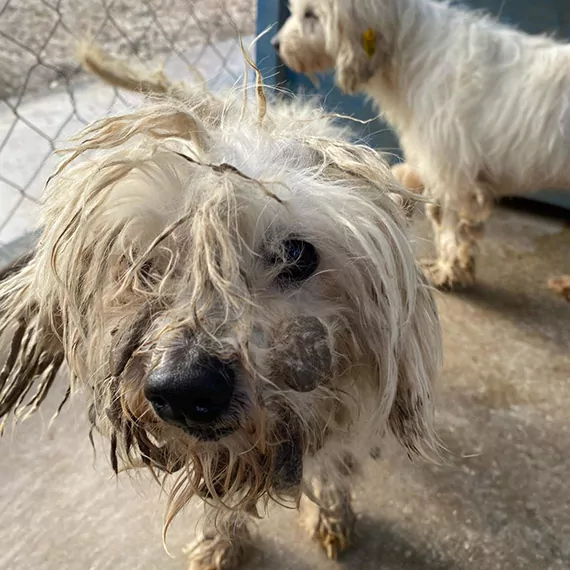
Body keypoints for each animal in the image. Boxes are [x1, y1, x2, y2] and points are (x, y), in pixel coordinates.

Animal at [0, 48, 440, 568]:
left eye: (296, 255)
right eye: (144, 263)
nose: (185, 390)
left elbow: (333, 461)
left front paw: (331, 511)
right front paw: (219, 540)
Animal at [270, 0, 568, 290]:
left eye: (310, 14)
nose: (275, 44)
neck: (409, 50)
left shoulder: (452, 171)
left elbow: (450, 227)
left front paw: (448, 271)